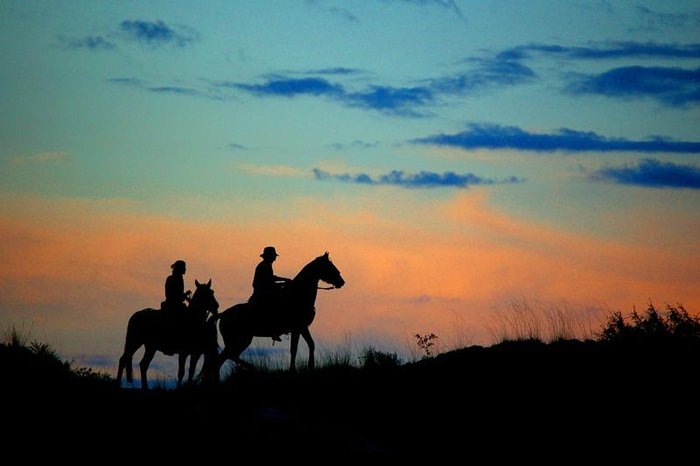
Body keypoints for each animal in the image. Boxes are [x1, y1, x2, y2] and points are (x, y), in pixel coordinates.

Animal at [215, 251, 344, 374]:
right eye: (329, 266)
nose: (342, 282)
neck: (298, 296)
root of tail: (223, 314)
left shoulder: (303, 328)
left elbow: (311, 345)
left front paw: (310, 367)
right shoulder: (298, 328)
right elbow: (294, 349)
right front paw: (293, 369)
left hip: (242, 340)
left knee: (225, 358)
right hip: (239, 340)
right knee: (225, 357)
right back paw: (252, 367)